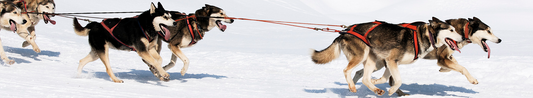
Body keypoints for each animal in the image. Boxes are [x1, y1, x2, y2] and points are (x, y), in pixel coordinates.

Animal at [312, 17, 462, 95]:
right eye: (451, 30)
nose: (462, 38)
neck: (422, 35)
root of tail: (344, 32)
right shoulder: (391, 61)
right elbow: (399, 80)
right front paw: (392, 90)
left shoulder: (391, 63)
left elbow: (385, 78)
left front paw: (376, 82)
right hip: (361, 56)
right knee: (346, 70)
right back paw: (353, 87)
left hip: (372, 60)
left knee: (364, 78)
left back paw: (374, 89)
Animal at [352, 16, 500, 95]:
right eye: (488, 31)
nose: (499, 40)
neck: (461, 30)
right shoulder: (442, 58)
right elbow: (462, 68)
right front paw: (472, 79)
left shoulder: (447, 57)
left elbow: (454, 63)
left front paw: (445, 69)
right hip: (382, 63)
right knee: (385, 79)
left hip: (379, 63)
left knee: (361, 72)